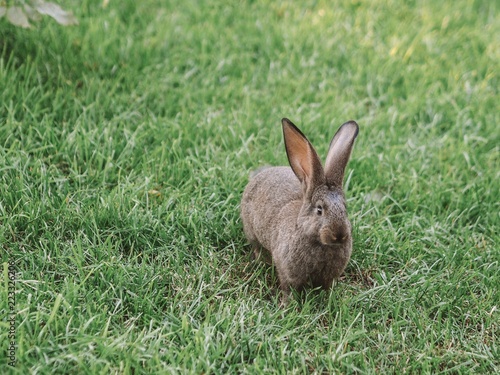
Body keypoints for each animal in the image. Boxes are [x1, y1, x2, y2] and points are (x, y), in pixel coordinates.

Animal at [239, 118, 360, 302]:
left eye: (345, 208)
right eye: (319, 210)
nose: (339, 235)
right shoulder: (287, 271)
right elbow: (288, 287)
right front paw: (287, 304)